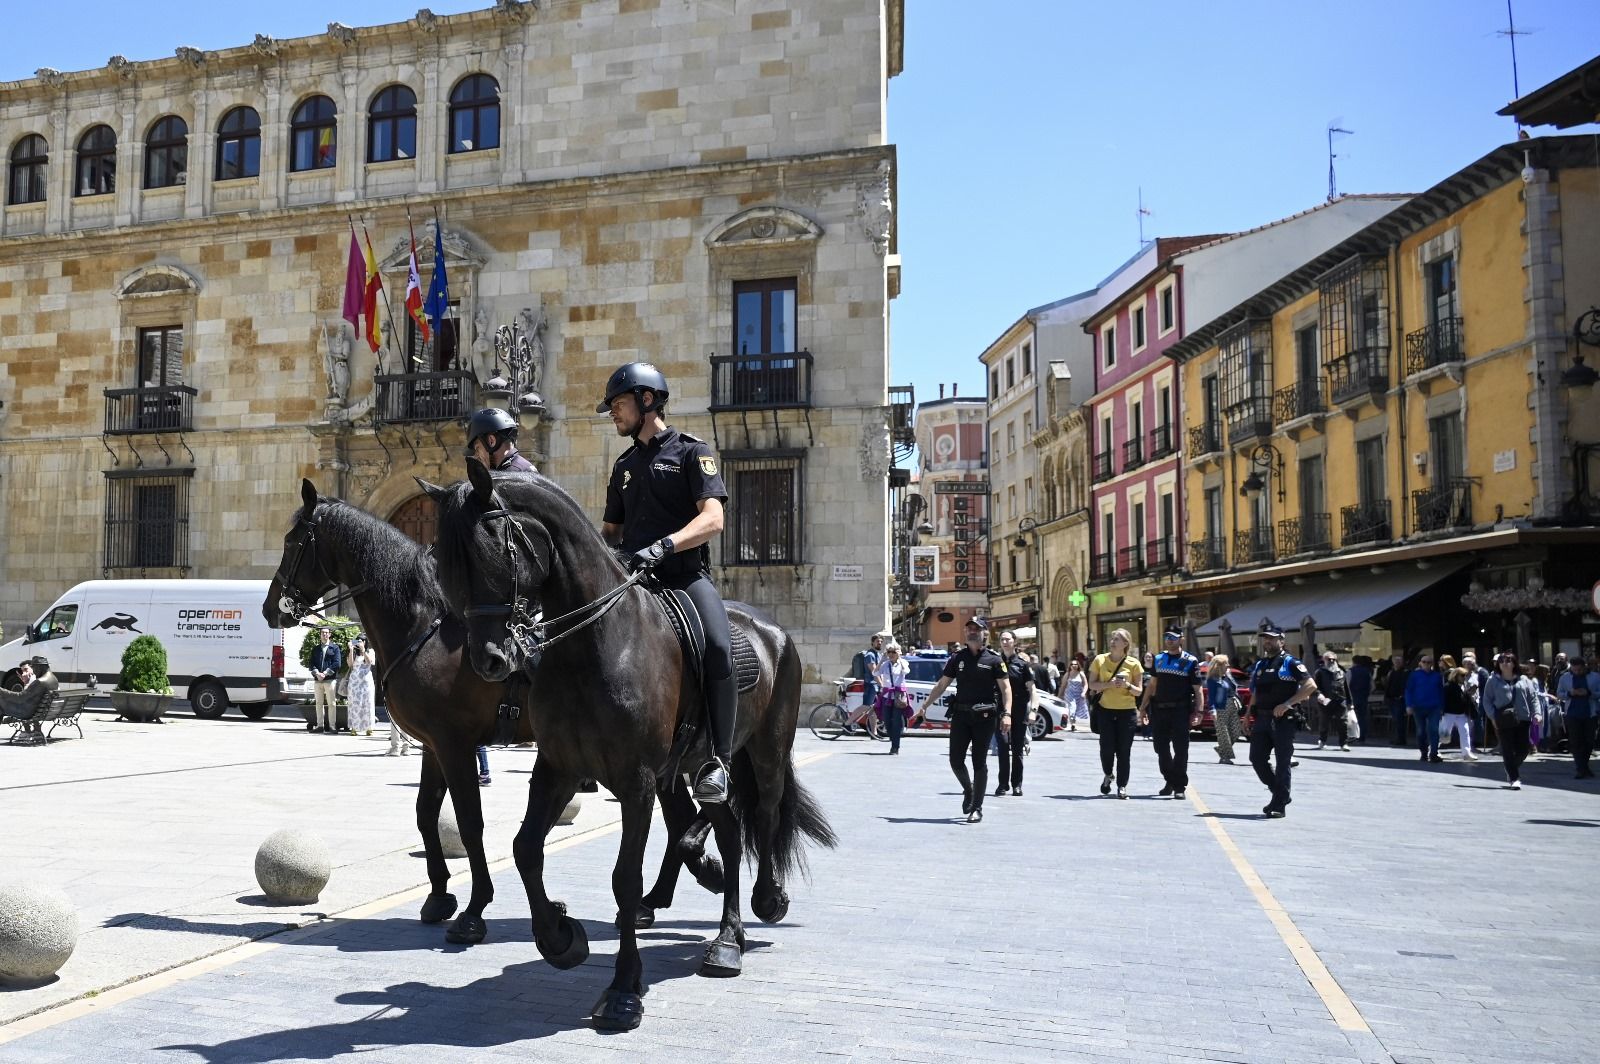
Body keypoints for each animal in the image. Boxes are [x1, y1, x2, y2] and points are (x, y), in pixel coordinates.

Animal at [259, 480, 723, 947]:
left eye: (292, 541)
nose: (270, 608)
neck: (425, 626)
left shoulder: (454, 743)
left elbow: (468, 821)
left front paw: (474, 909)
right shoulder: (433, 745)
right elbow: (426, 814)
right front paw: (440, 896)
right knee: (677, 814)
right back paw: (664, 893)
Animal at [419, 464, 832, 1030]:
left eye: (494, 548)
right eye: (446, 564)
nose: (490, 661)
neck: (593, 646)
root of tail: (773, 630)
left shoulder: (636, 782)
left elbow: (624, 881)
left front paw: (622, 991)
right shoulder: (557, 768)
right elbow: (525, 849)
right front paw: (561, 938)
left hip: (765, 750)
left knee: (765, 814)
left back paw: (765, 901)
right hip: (696, 767)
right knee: (728, 830)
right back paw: (727, 939)